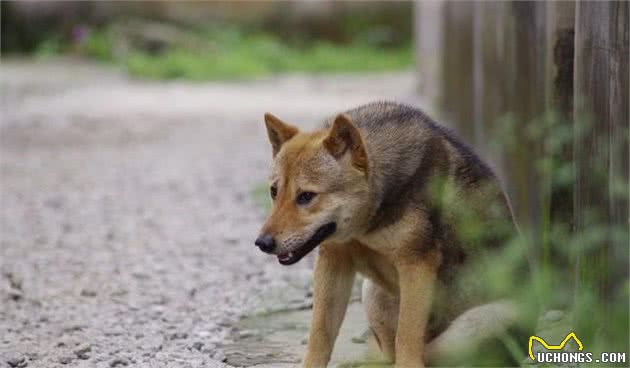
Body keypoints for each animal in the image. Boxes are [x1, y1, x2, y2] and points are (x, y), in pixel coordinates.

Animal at [256, 101, 532, 368]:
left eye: (306, 196)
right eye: (273, 191)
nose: (262, 243)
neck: (366, 224)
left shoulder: (416, 265)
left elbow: (407, 337)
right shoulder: (334, 261)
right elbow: (320, 334)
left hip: (487, 319)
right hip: (372, 292)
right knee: (389, 352)